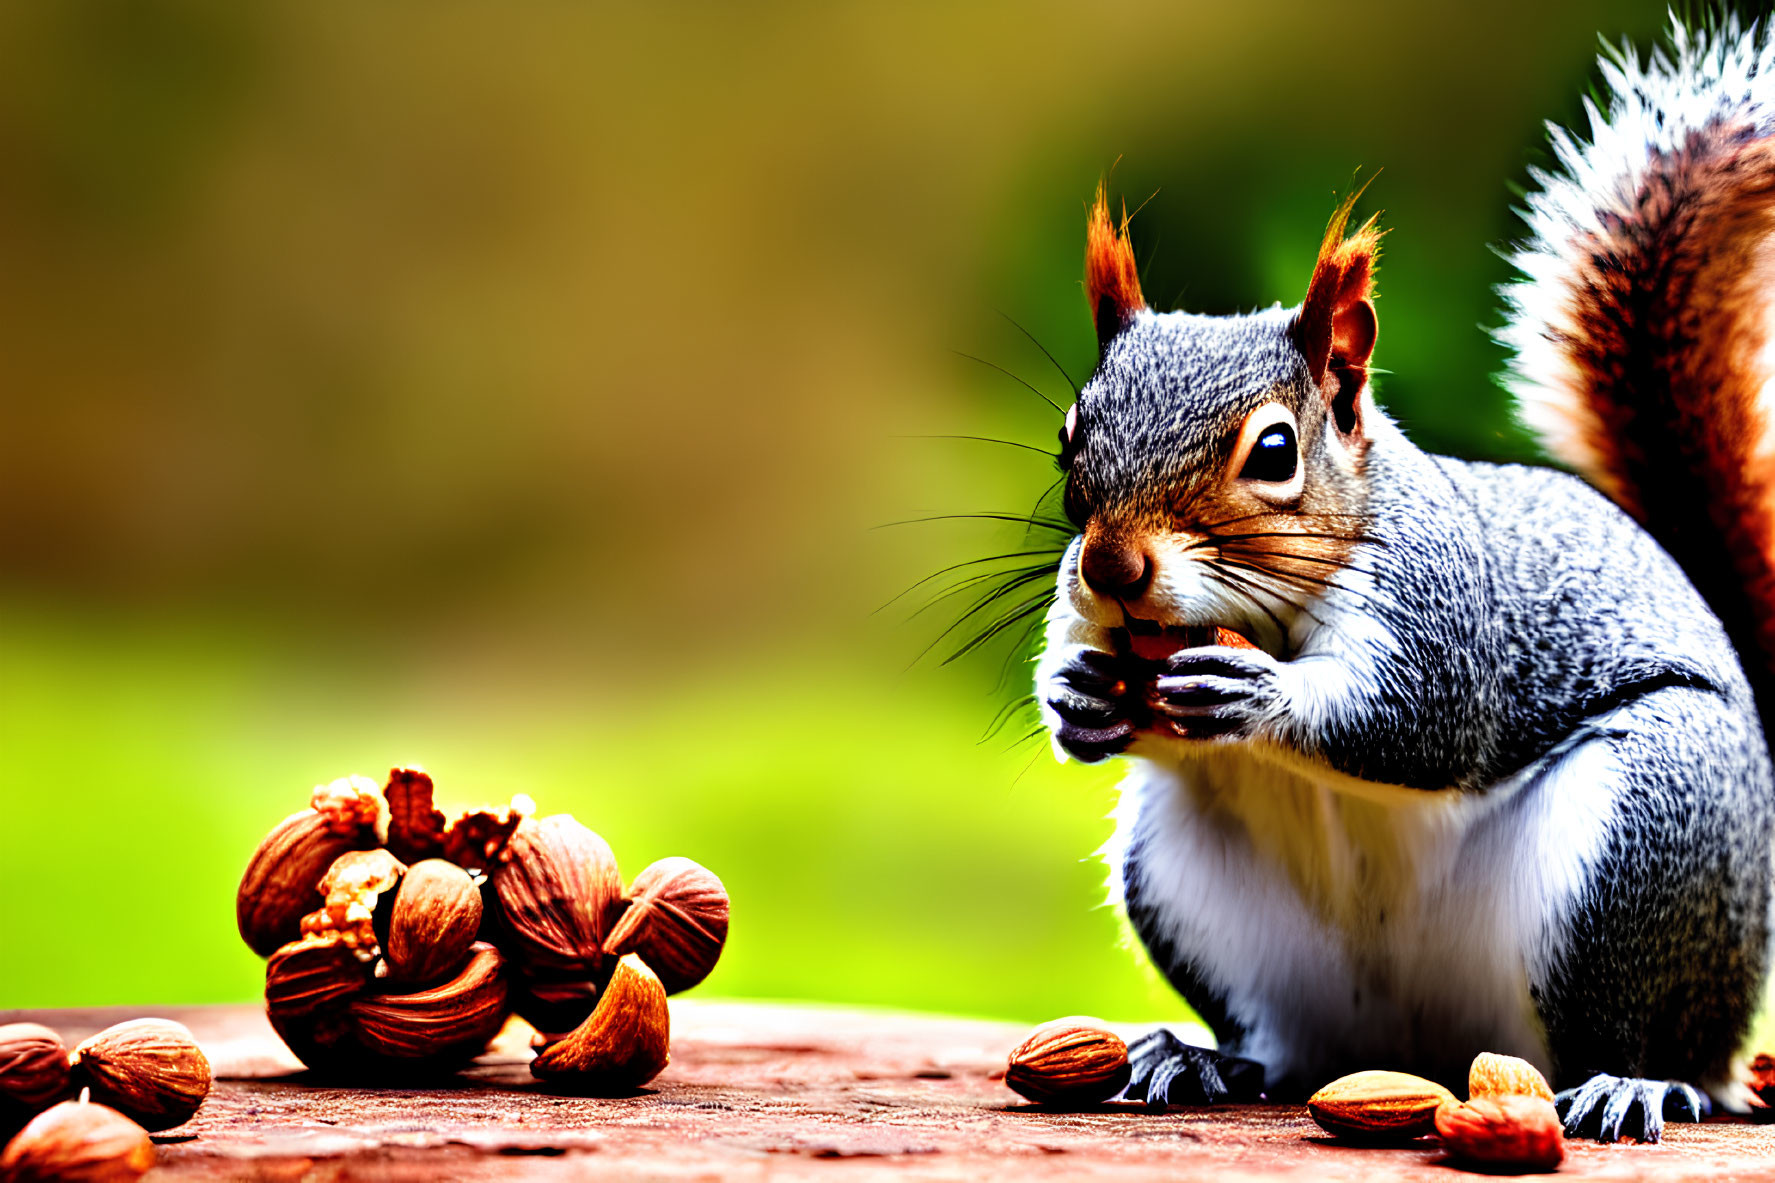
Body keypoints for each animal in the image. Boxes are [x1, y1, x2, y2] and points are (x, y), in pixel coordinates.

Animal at [1036, 13, 1775, 1136]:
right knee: (1282, 1041)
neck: (1265, 608)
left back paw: (1633, 1079)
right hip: (1189, 885)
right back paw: (1209, 1059)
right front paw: (1074, 695)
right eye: (1069, 438)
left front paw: (1261, 694)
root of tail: (1425, 1043)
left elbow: (1418, 723)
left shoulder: (1438, 603)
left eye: (1274, 450)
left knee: (1655, 1040)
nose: (1112, 567)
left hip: (1645, 834)